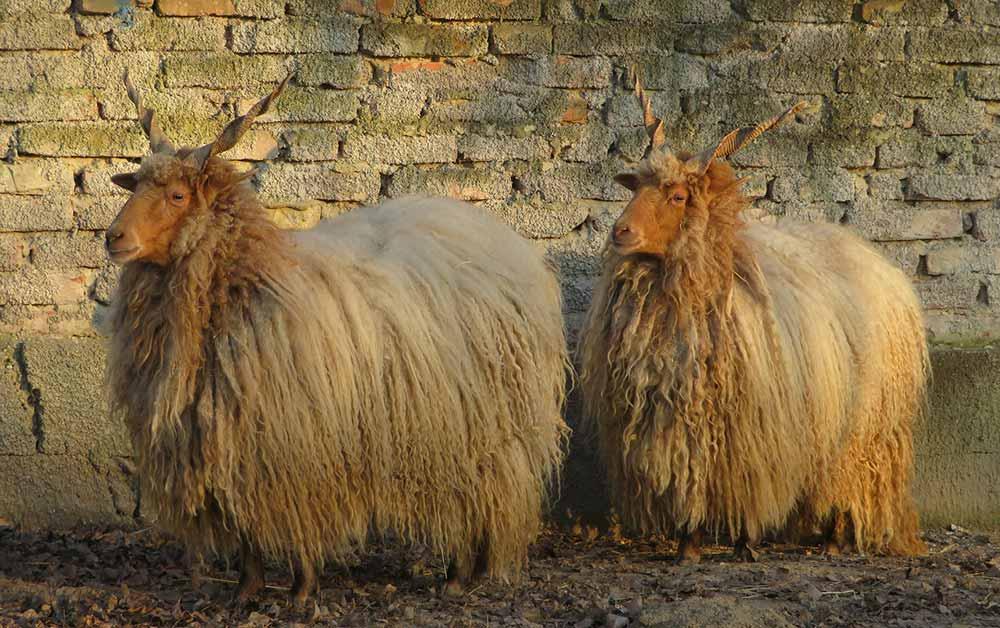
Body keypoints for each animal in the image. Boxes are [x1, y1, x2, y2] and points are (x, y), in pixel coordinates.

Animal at [103, 73, 572, 604]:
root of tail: (507, 241)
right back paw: (465, 573)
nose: (114, 238)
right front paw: (246, 591)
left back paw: (456, 575)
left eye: (179, 196)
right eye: (138, 185)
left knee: (479, 494)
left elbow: (299, 517)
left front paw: (303, 590)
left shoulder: (298, 442)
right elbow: (246, 531)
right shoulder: (233, 440)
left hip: (486, 427)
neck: (251, 278)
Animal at [580, 75, 928, 564]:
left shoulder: (749, 429)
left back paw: (834, 539)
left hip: (863, 427)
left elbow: (743, 482)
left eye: (679, 196)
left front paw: (743, 541)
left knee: (846, 480)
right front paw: (688, 543)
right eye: (635, 189)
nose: (620, 232)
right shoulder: (683, 424)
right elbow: (693, 479)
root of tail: (887, 269)